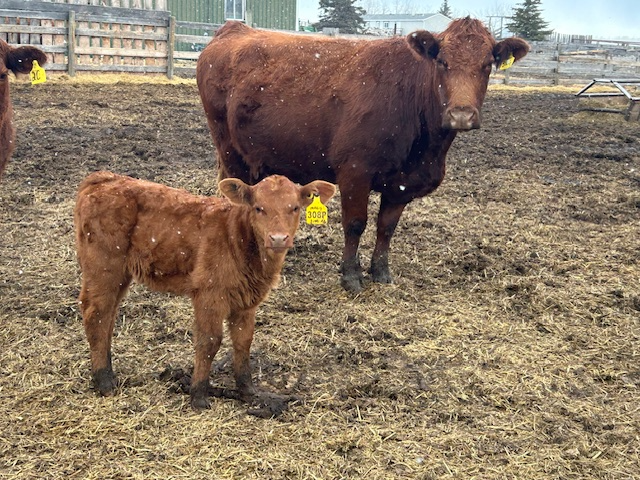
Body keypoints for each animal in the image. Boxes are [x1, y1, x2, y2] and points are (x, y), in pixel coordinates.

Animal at [75, 171, 335, 414]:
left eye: (294, 208)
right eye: (259, 208)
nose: (279, 238)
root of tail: (103, 178)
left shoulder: (246, 302)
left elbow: (244, 341)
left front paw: (247, 391)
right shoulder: (209, 293)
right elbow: (209, 341)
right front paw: (199, 395)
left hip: (121, 274)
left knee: (108, 317)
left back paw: (108, 373)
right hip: (104, 265)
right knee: (96, 314)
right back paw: (104, 382)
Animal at [196, 18, 529, 292]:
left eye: (487, 65)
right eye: (442, 62)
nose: (461, 114)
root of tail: (235, 28)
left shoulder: (402, 183)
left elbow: (387, 227)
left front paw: (380, 272)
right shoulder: (355, 171)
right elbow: (355, 223)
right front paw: (351, 276)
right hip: (229, 150)